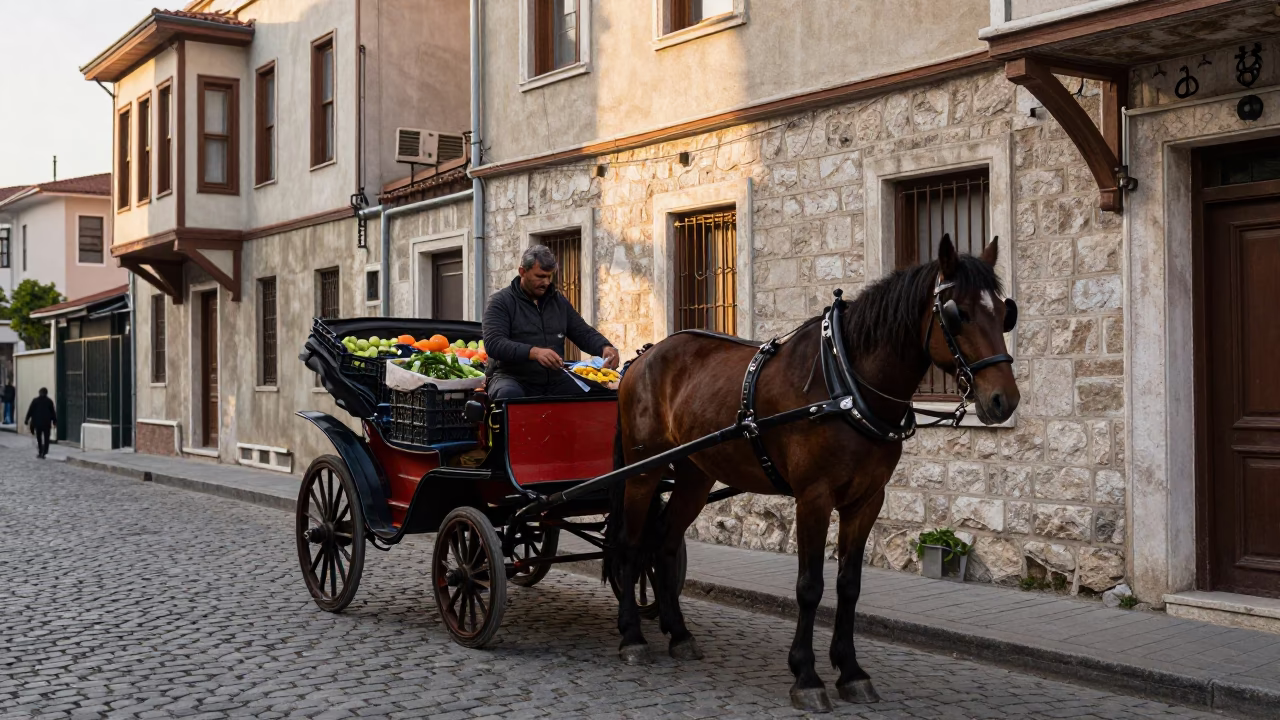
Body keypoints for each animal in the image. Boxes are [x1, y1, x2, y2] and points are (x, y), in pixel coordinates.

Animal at [604, 235, 1020, 712]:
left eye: (1004, 312)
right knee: (631, 546)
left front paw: (851, 671)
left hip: (694, 474)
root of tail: (640, 359)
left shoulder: (867, 501)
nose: (1003, 400)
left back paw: (679, 633)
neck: (845, 382)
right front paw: (806, 675)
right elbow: (810, 586)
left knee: (666, 546)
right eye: (958, 313)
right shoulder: (813, 498)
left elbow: (848, 585)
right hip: (643, 472)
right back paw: (632, 636)